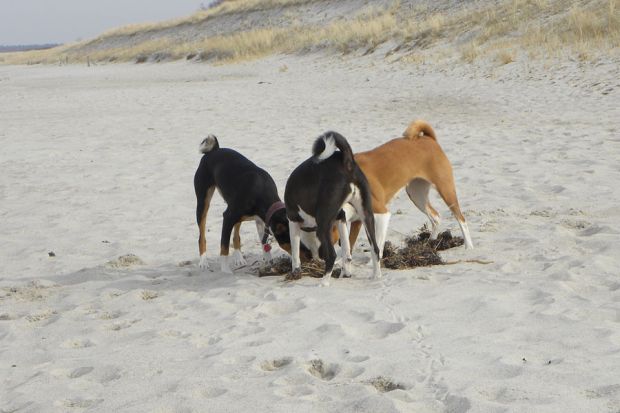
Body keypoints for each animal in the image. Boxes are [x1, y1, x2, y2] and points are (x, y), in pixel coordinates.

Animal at [193, 134, 310, 272]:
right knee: (202, 236)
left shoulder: (259, 220)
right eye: (296, 241)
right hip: (203, 203)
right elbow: (224, 246)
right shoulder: (228, 217)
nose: (311, 257)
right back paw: (203, 261)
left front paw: (268, 262)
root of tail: (214, 150)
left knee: (236, 235)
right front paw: (225, 270)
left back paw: (239, 258)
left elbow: (264, 243)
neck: (261, 192)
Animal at [284, 130, 380, 284]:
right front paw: (346, 274)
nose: (315, 259)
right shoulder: (341, 218)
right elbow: (347, 252)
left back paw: (324, 282)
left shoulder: (293, 221)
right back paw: (376, 276)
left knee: (332, 255)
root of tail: (346, 163)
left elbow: (295, 254)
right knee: (375, 249)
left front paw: (295, 272)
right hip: (366, 215)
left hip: (323, 224)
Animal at [346, 119, 472, 254]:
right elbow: (350, 243)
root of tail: (429, 139)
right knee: (436, 217)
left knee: (461, 219)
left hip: (445, 190)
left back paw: (469, 247)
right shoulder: (358, 219)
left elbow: (376, 247)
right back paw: (429, 244)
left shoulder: (380, 214)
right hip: (417, 195)